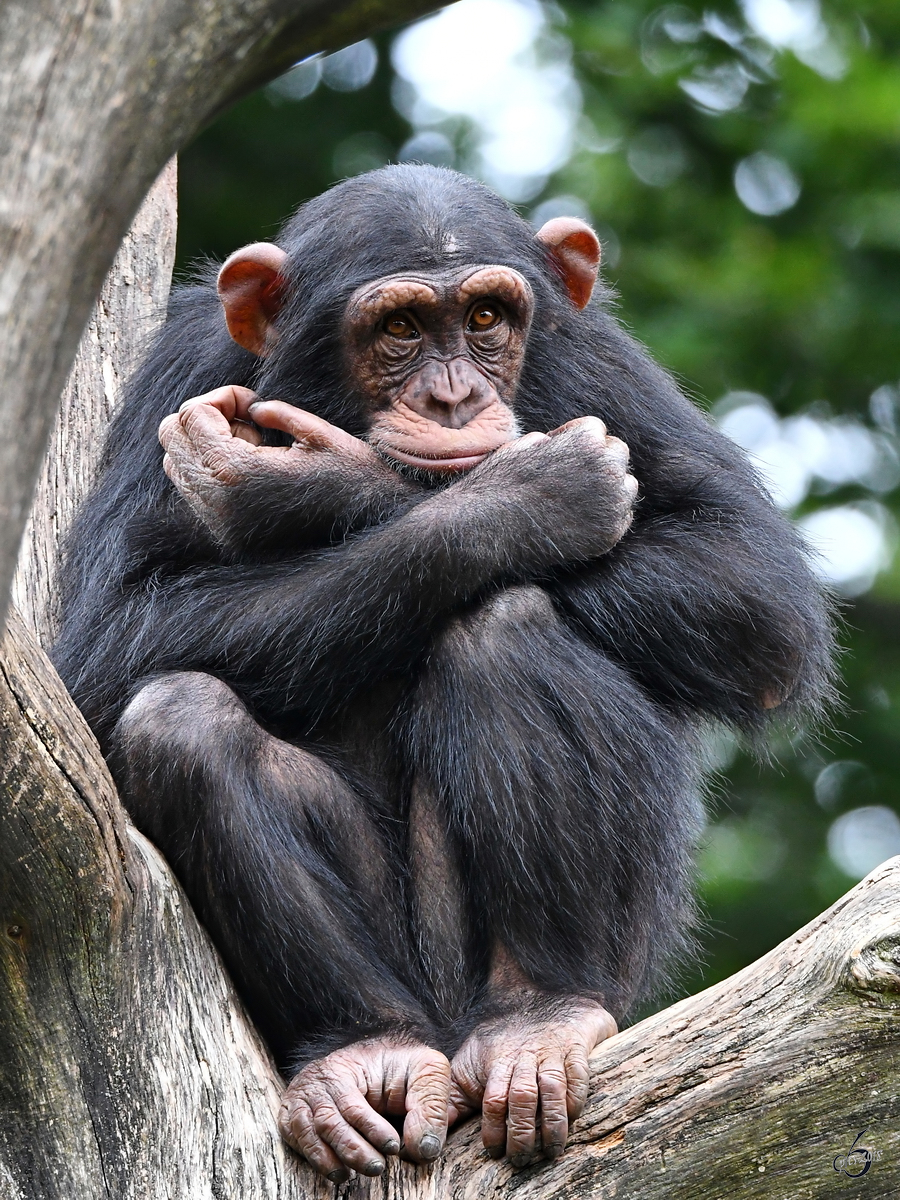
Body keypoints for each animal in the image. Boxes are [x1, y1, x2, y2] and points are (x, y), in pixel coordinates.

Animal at [52, 162, 835, 1180]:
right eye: (400, 329)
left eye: (488, 318)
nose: (455, 398)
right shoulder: (179, 366)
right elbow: (108, 633)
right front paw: (518, 498)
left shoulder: (596, 357)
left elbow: (752, 588)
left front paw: (304, 481)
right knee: (178, 718)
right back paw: (363, 1046)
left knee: (500, 625)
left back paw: (542, 1013)